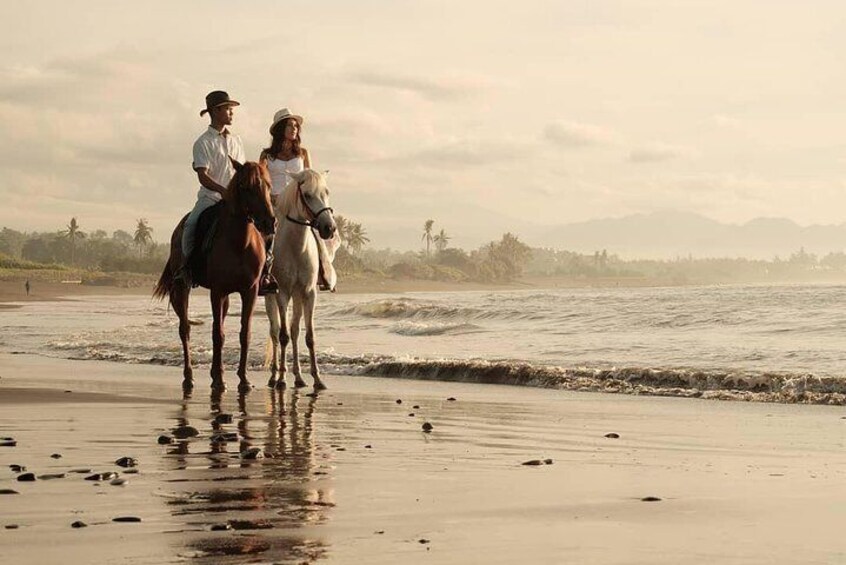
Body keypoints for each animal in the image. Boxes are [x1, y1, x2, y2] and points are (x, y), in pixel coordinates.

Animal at [151, 158, 274, 388]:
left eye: (269, 186)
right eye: (246, 187)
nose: (269, 222)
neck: (240, 242)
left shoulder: (250, 290)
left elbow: (244, 333)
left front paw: (243, 378)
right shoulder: (217, 291)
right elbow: (217, 333)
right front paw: (219, 380)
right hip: (182, 288)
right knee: (185, 329)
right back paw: (189, 376)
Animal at [264, 167, 338, 388]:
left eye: (326, 192)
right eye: (307, 195)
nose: (329, 228)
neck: (296, 249)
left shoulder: (308, 293)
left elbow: (309, 336)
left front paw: (317, 379)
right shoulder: (282, 293)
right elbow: (283, 336)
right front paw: (281, 378)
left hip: (297, 296)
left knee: (295, 330)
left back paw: (298, 377)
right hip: (271, 296)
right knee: (275, 332)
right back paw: (274, 376)